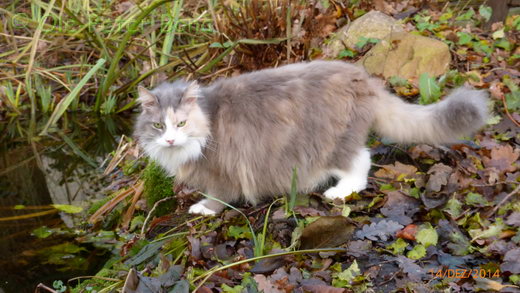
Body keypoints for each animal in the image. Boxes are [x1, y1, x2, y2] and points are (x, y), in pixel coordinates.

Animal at [133, 60, 488, 214]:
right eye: (158, 127)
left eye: (180, 123)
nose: (169, 140)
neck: (209, 120)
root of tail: (361, 77)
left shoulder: (221, 170)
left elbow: (218, 196)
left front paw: (204, 208)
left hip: (328, 143)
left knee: (361, 161)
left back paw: (339, 192)